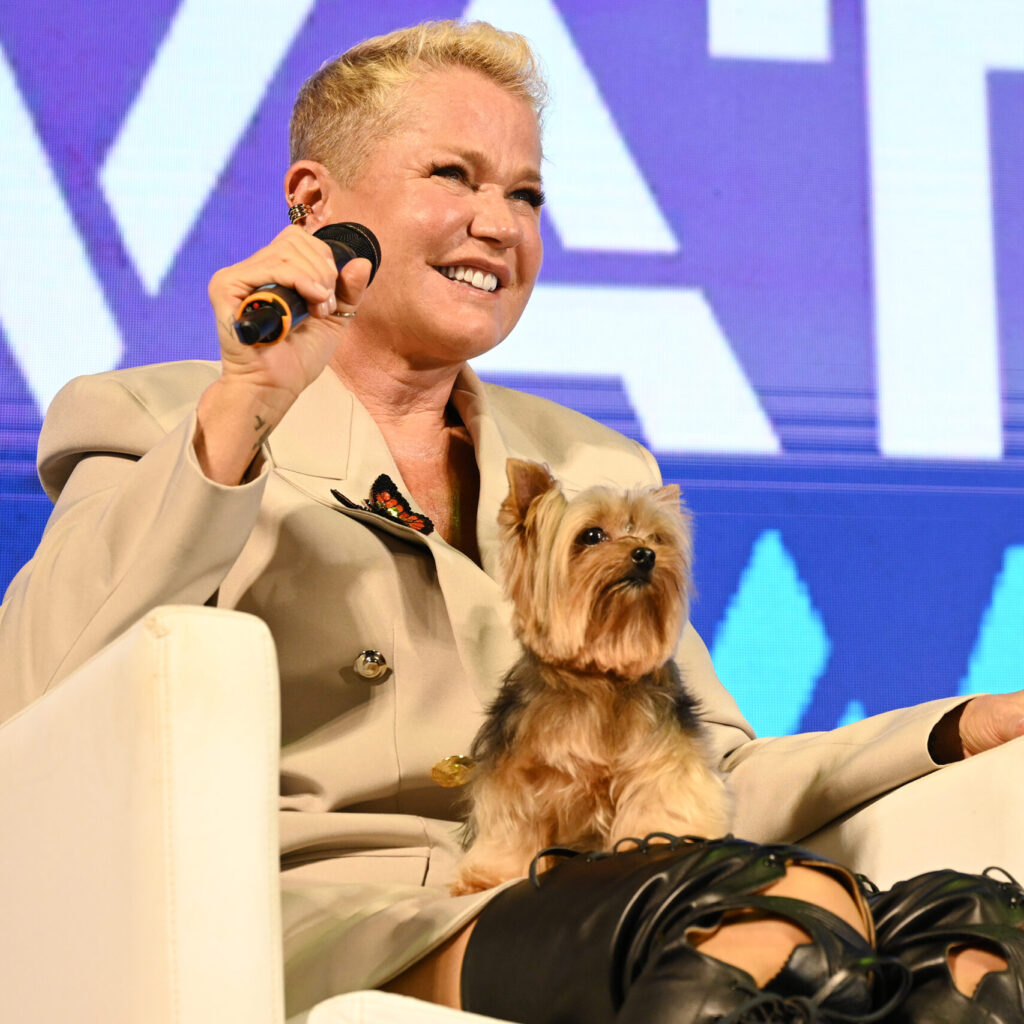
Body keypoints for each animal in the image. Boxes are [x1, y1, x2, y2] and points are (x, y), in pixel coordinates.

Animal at [452, 458, 733, 897]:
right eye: (592, 536)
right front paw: (491, 874)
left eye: (656, 537)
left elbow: (664, 798)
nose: (646, 554)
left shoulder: (664, 759)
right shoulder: (516, 774)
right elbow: (511, 820)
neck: (601, 675)